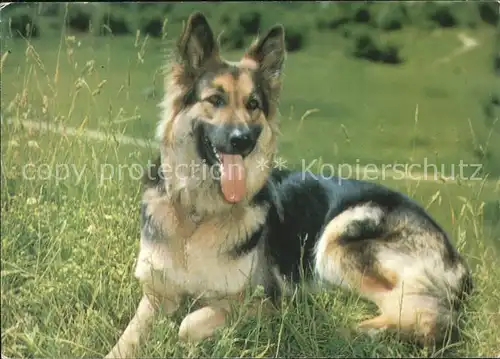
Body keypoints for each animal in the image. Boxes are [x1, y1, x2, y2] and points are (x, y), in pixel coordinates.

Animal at [105, 12, 472, 358]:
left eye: (253, 104)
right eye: (215, 100)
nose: (242, 140)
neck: (199, 213)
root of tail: (456, 256)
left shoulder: (260, 299)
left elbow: (188, 322)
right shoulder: (156, 295)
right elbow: (128, 337)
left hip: (340, 239)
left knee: (427, 315)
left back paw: (354, 331)